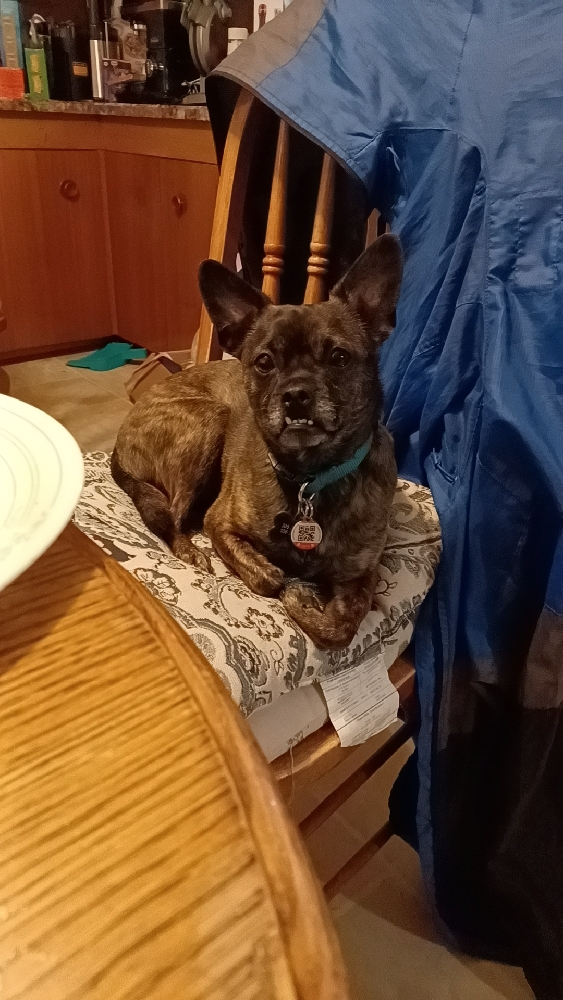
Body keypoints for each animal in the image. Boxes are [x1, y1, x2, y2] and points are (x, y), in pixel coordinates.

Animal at [111, 234, 402, 649]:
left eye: (340, 357)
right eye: (264, 362)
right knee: (173, 518)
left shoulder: (362, 575)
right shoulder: (221, 524)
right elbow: (270, 579)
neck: (309, 481)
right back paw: (190, 550)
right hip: (211, 419)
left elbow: (341, 627)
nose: (296, 395)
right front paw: (292, 587)